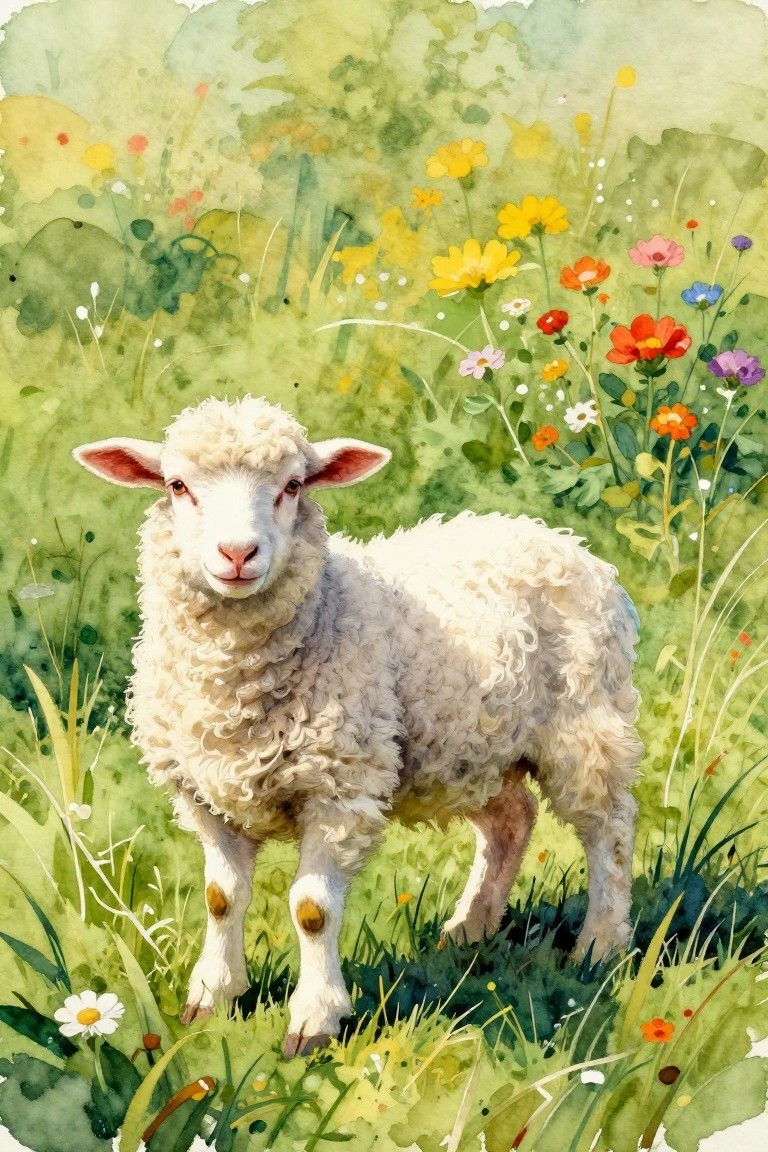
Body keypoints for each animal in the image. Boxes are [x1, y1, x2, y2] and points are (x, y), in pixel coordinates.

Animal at [73, 395, 643, 1058]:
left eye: (292, 486)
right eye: (177, 485)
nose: (237, 555)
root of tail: (557, 538)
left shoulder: (339, 788)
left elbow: (312, 910)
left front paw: (313, 1020)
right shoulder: (204, 793)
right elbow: (220, 899)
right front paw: (212, 997)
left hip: (584, 725)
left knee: (609, 830)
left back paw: (599, 945)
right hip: (472, 744)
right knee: (511, 821)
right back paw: (469, 928)